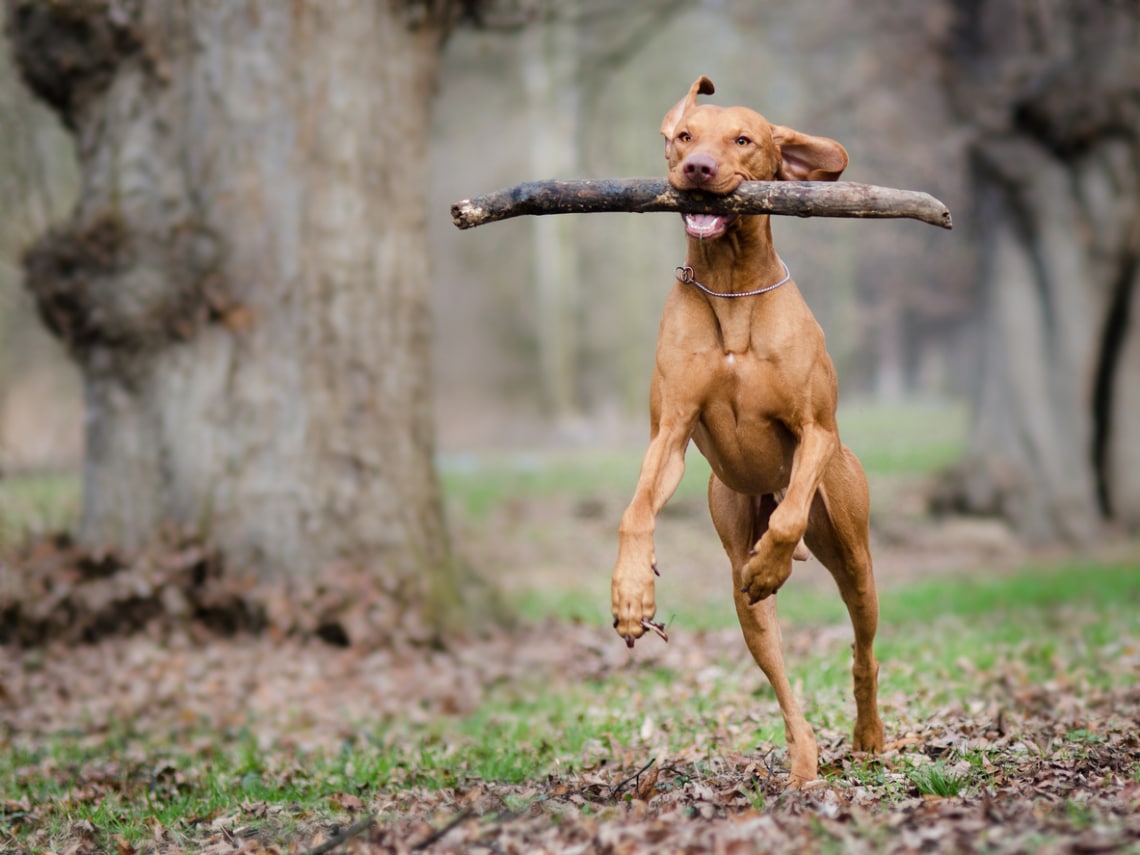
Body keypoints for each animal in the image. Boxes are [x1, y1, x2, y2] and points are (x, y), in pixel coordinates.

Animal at [611, 76, 884, 788]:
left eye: (742, 140)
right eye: (684, 136)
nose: (699, 169)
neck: (731, 287)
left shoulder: (816, 429)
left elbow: (788, 517)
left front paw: (772, 559)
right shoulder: (669, 432)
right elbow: (636, 511)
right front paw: (631, 592)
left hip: (854, 551)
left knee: (863, 643)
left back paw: (869, 733)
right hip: (737, 554)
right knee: (777, 666)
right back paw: (804, 761)